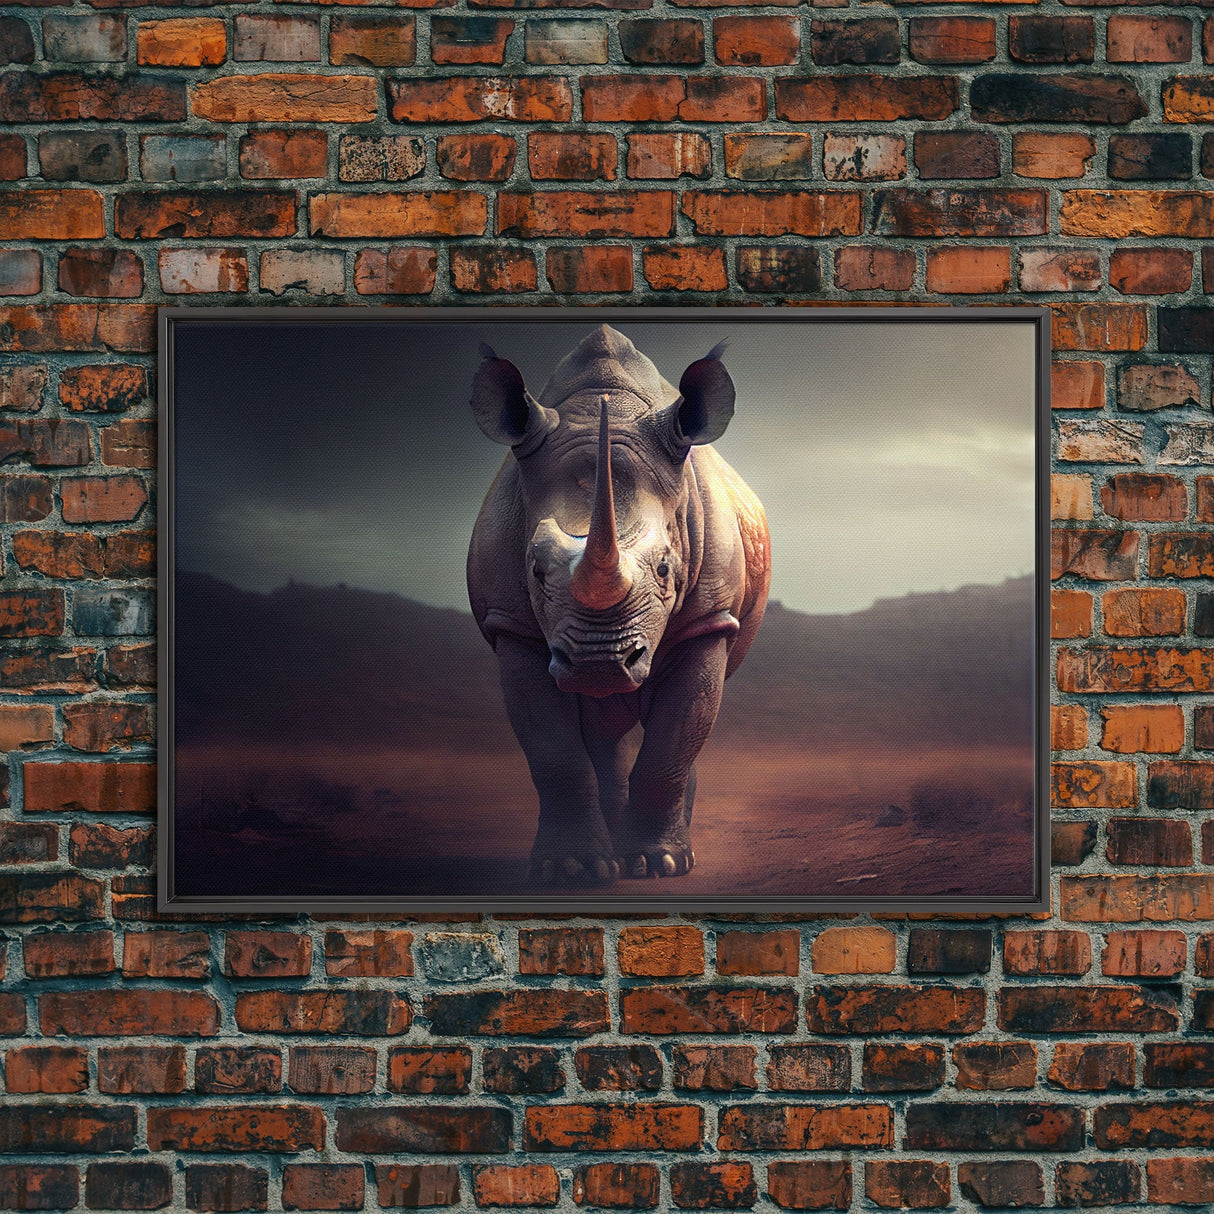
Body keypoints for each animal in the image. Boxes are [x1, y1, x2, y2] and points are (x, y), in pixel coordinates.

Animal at [467, 325, 770, 884]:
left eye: (666, 569)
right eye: (535, 570)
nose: (600, 662)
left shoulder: (708, 622)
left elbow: (673, 742)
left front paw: (661, 864)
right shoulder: (513, 625)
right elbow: (554, 752)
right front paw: (571, 868)